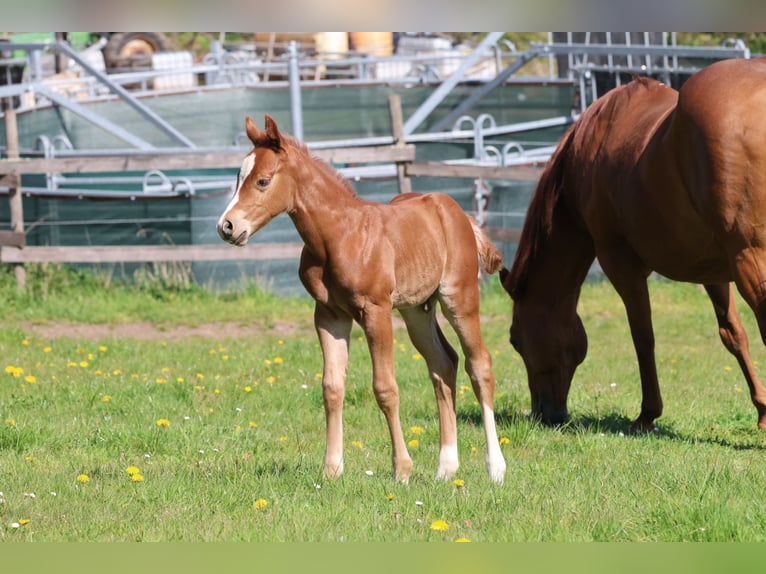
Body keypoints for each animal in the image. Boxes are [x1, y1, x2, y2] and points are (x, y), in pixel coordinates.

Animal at [217, 114, 507, 483]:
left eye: (263, 181)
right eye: (239, 178)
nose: (226, 226)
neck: (339, 236)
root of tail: (458, 213)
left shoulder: (375, 310)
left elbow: (385, 388)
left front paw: (402, 470)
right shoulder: (329, 314)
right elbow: (331, 387)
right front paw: (331, 469)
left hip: (459, 297)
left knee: (479, 365)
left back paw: (495, 467)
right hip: (416, 310)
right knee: (444, 364)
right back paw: (445, 468)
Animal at [500, 57, 766, 432]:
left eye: (515, 340)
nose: (545, 414)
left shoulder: (619, 262)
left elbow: (643, 335)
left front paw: (647, 414)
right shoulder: (713, 271)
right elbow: (733, 334)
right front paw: (762, 410)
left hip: (749, 261)